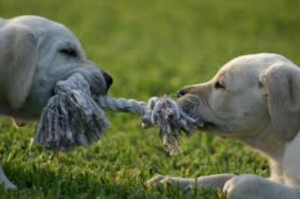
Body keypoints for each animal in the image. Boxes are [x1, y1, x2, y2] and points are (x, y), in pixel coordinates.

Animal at [148, 53, 300, 199]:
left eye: (220, 84)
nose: (180, 92)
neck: (280, 150)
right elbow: (220, 177)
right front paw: (171, 182)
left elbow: (245, 183)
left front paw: (233, 185)